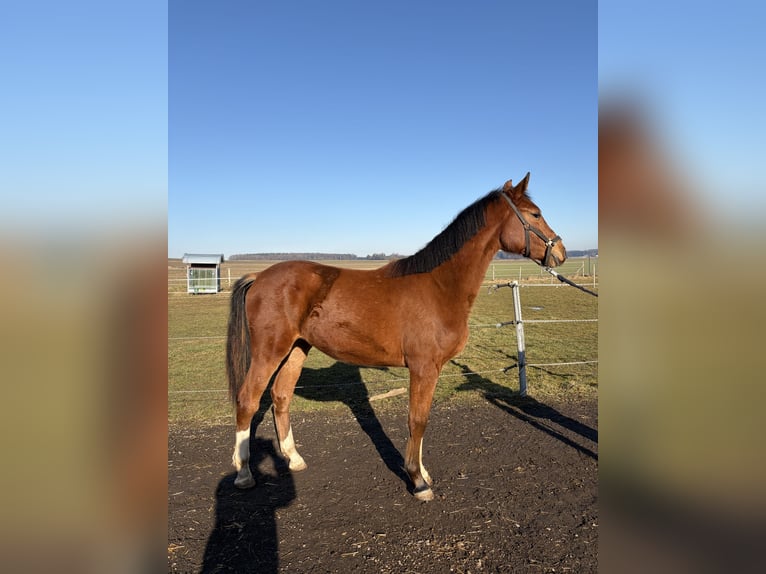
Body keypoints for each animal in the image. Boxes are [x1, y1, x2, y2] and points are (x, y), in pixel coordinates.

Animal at [225, 173, 566, 501]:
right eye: (535, 214)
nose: (561, 252)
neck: (439, 286)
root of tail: (259, 277)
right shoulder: (423, 368)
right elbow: (418, 420)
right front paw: (418, 481)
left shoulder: (429, 370)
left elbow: (422, 420)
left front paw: (423, 473)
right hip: (270, 351)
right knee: (248, 400)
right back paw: (243, 474)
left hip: (297, 347)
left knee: (281, 397)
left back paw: (294, 459)